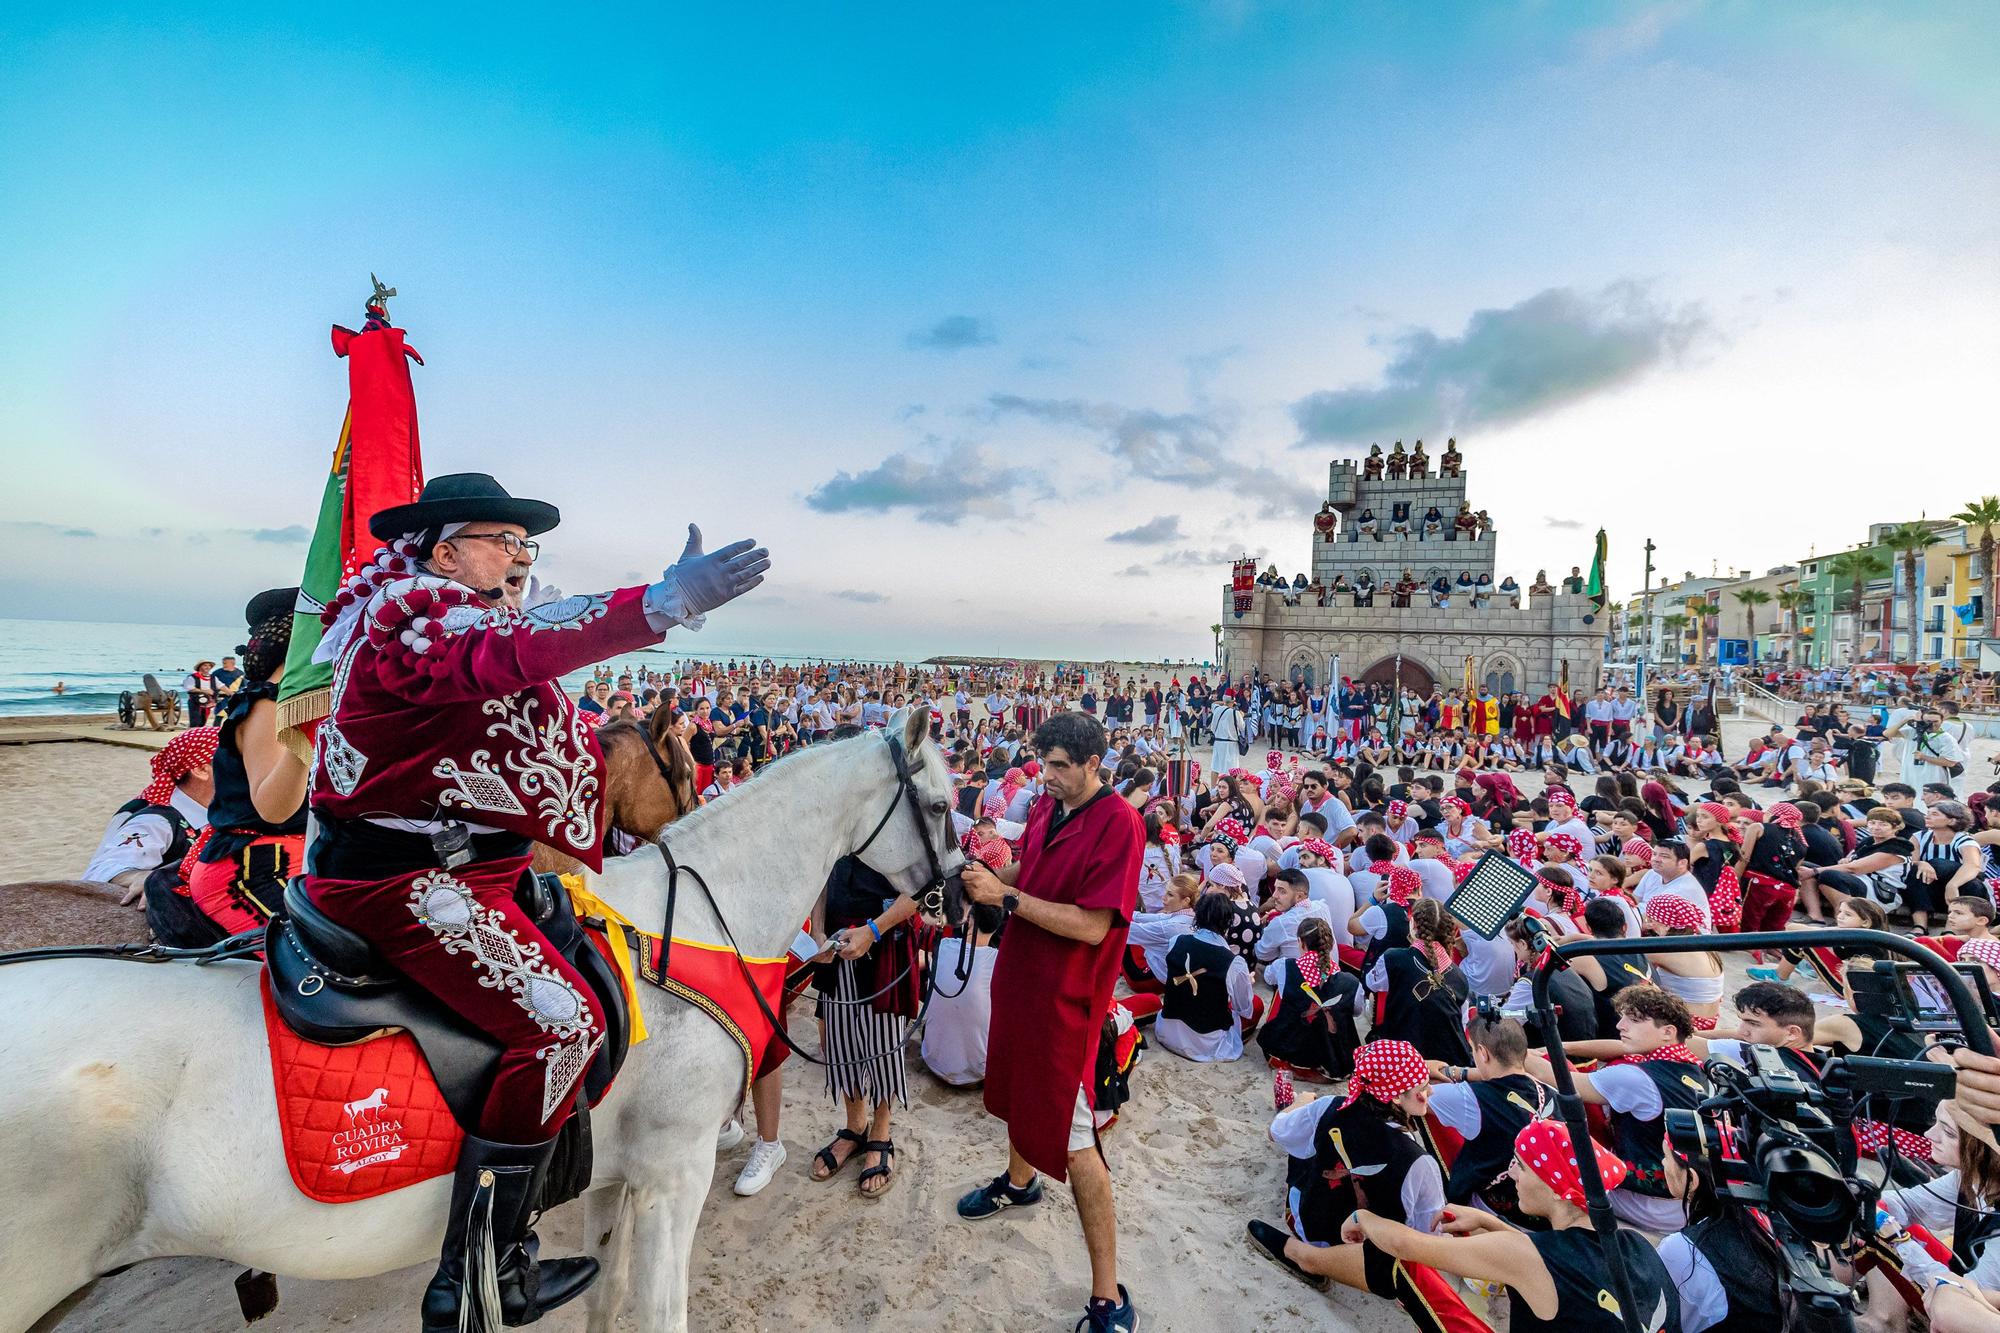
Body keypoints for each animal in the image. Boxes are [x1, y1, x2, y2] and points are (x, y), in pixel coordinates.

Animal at [0, 712, 968, 1328]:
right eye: (943, 804)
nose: (964, 903)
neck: (688, 924)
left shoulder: (614, 1174)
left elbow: (609, 1303)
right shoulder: (673, 1174)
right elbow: (659, 1310)